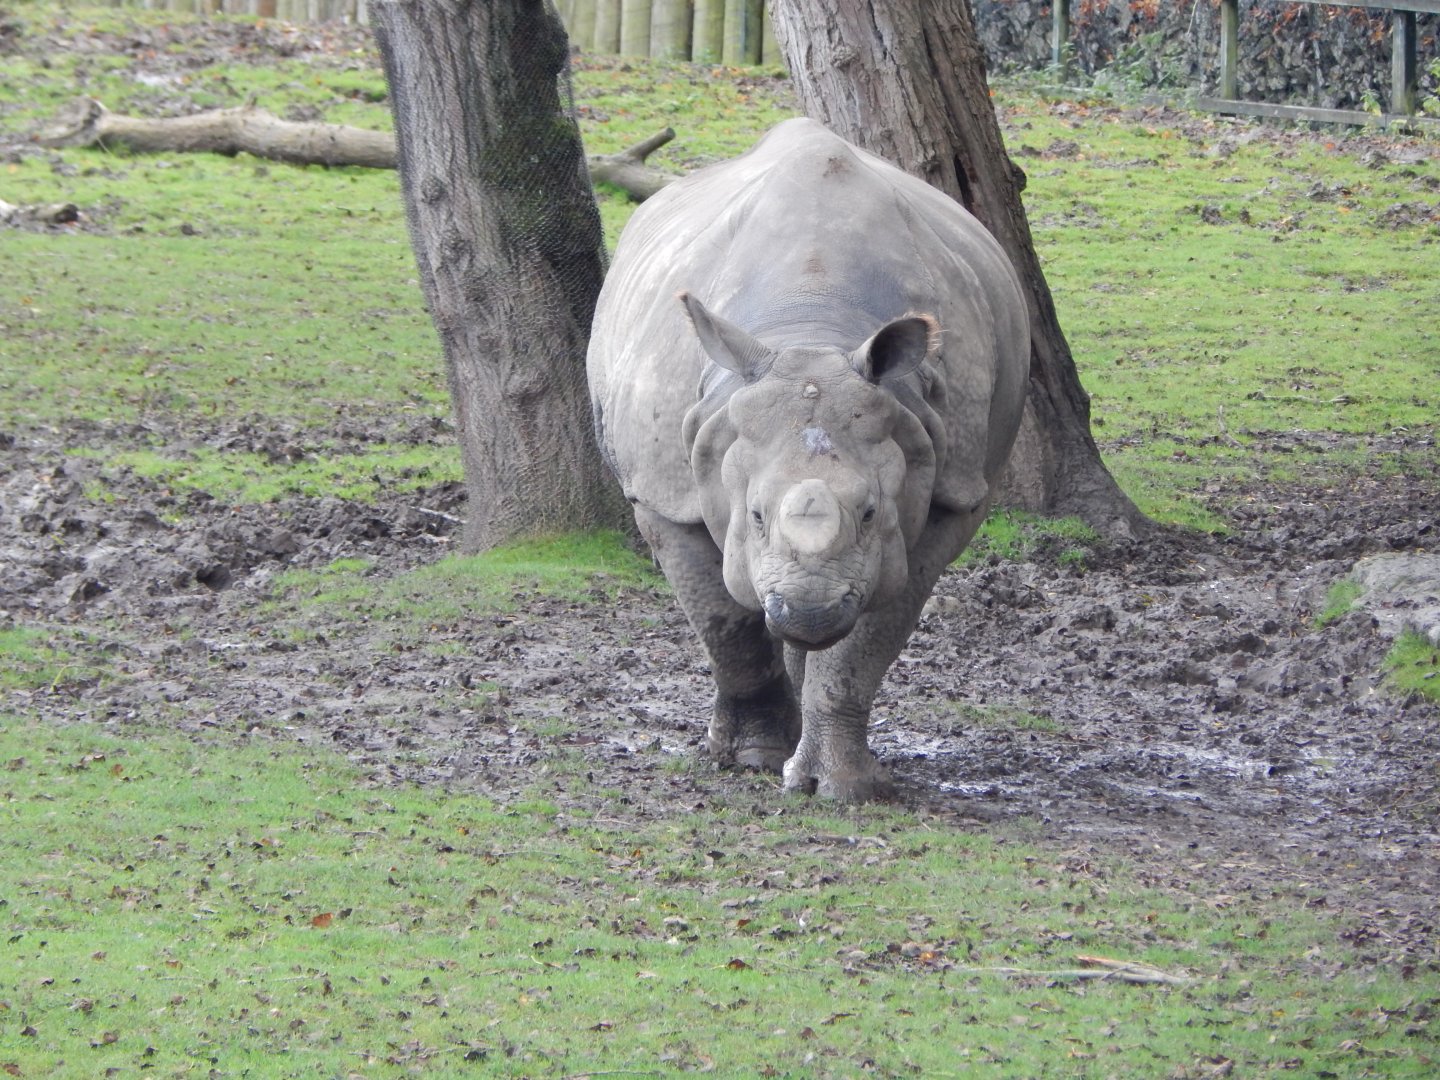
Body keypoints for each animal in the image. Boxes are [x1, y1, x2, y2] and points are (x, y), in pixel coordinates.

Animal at [587, 118, 1030, 801]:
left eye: (871, 513)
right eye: (754, 515)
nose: (810, 609)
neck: (810, 329)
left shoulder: (950, 485)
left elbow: (869, 639)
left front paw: (842, 786)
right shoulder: (663, 492)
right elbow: (725, 626)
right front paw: (752, 759)